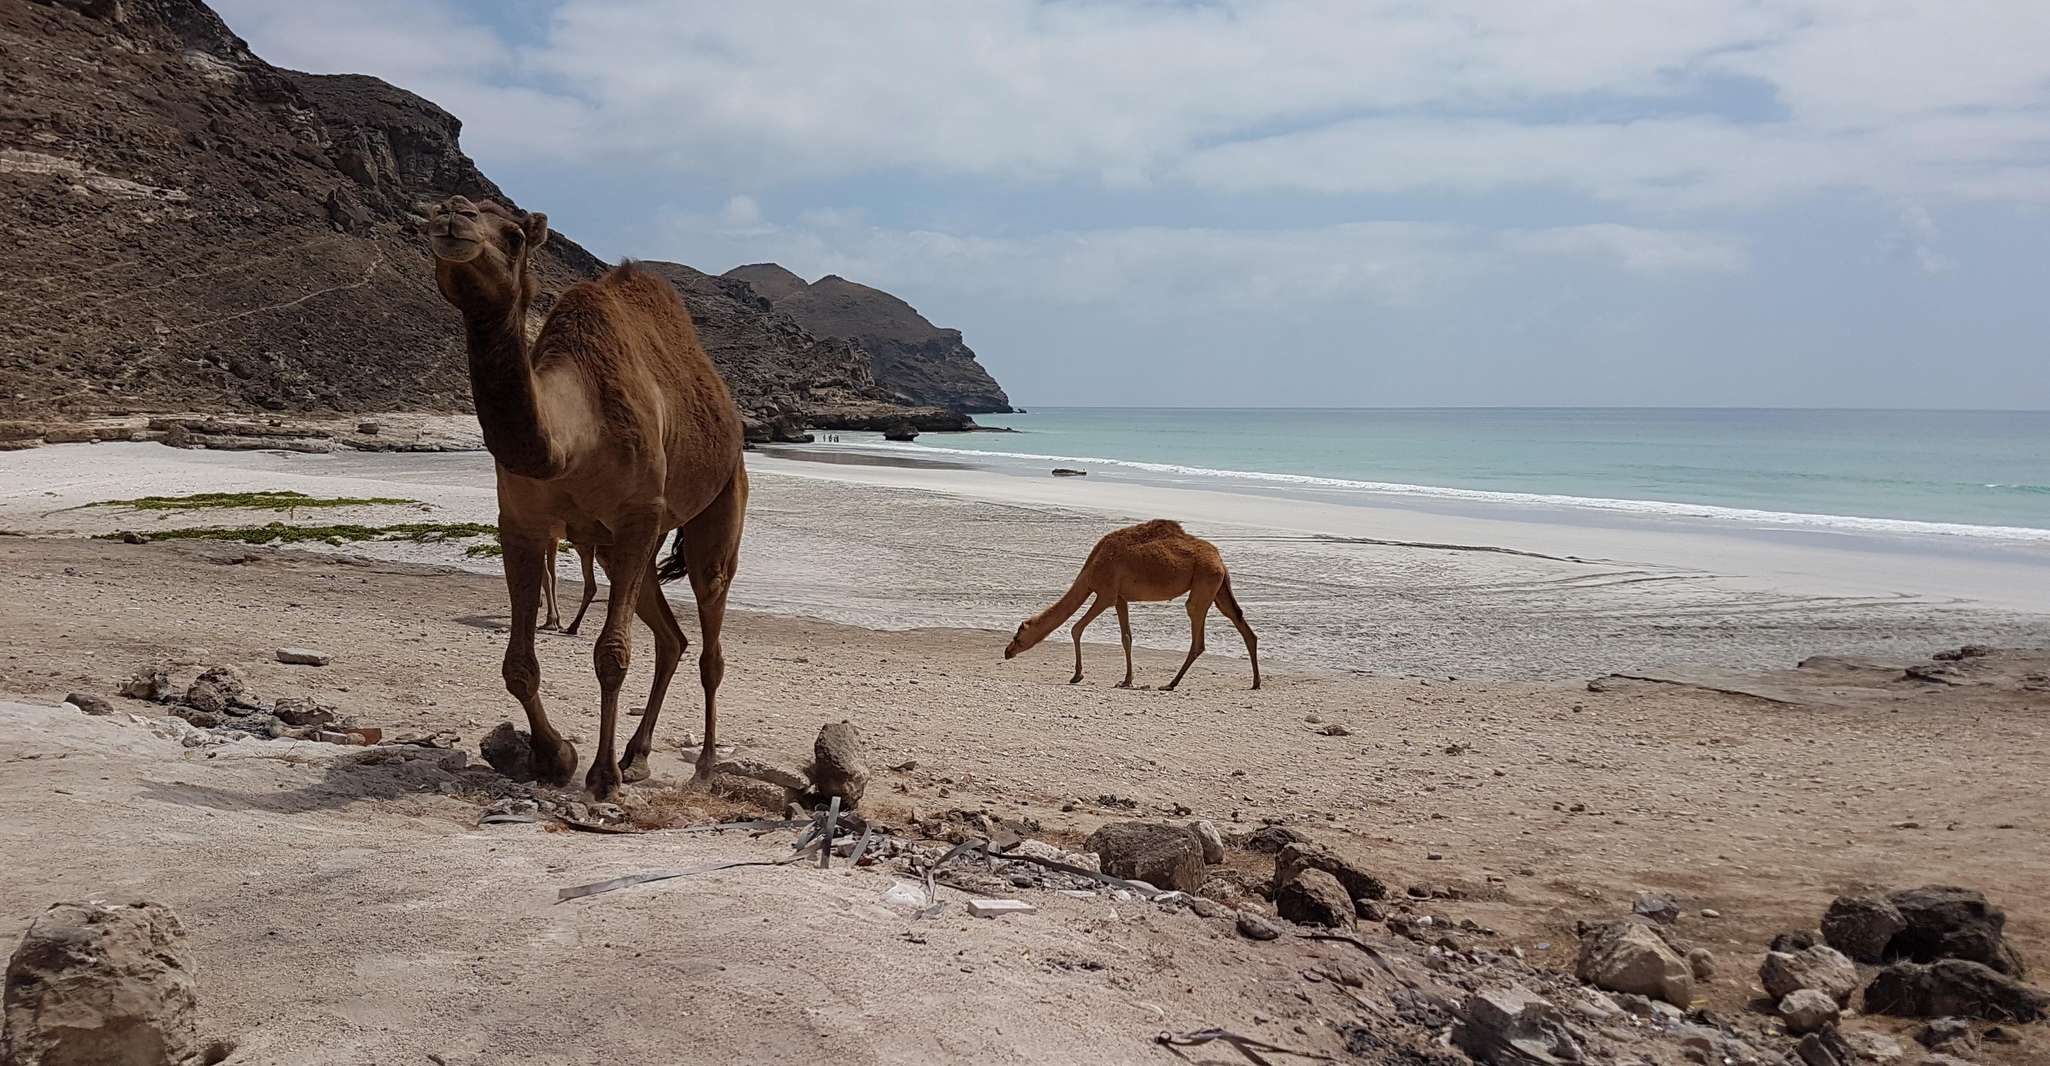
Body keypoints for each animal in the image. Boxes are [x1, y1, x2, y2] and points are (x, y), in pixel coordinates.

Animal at [1000, 518, 1254, 692]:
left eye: (1018, 637)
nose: (1007, 652)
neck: (1091, 570)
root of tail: (1220, 560)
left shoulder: (1106, 594)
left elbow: (1077, 628)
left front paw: (1077, 676)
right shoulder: (1121, 598)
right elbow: (1126, 637)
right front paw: (1126, 680)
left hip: (1204, 582)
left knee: (1197, 632)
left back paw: (1170, 684)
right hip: (1218, 589)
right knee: (1240, 623)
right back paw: (1256, 682)